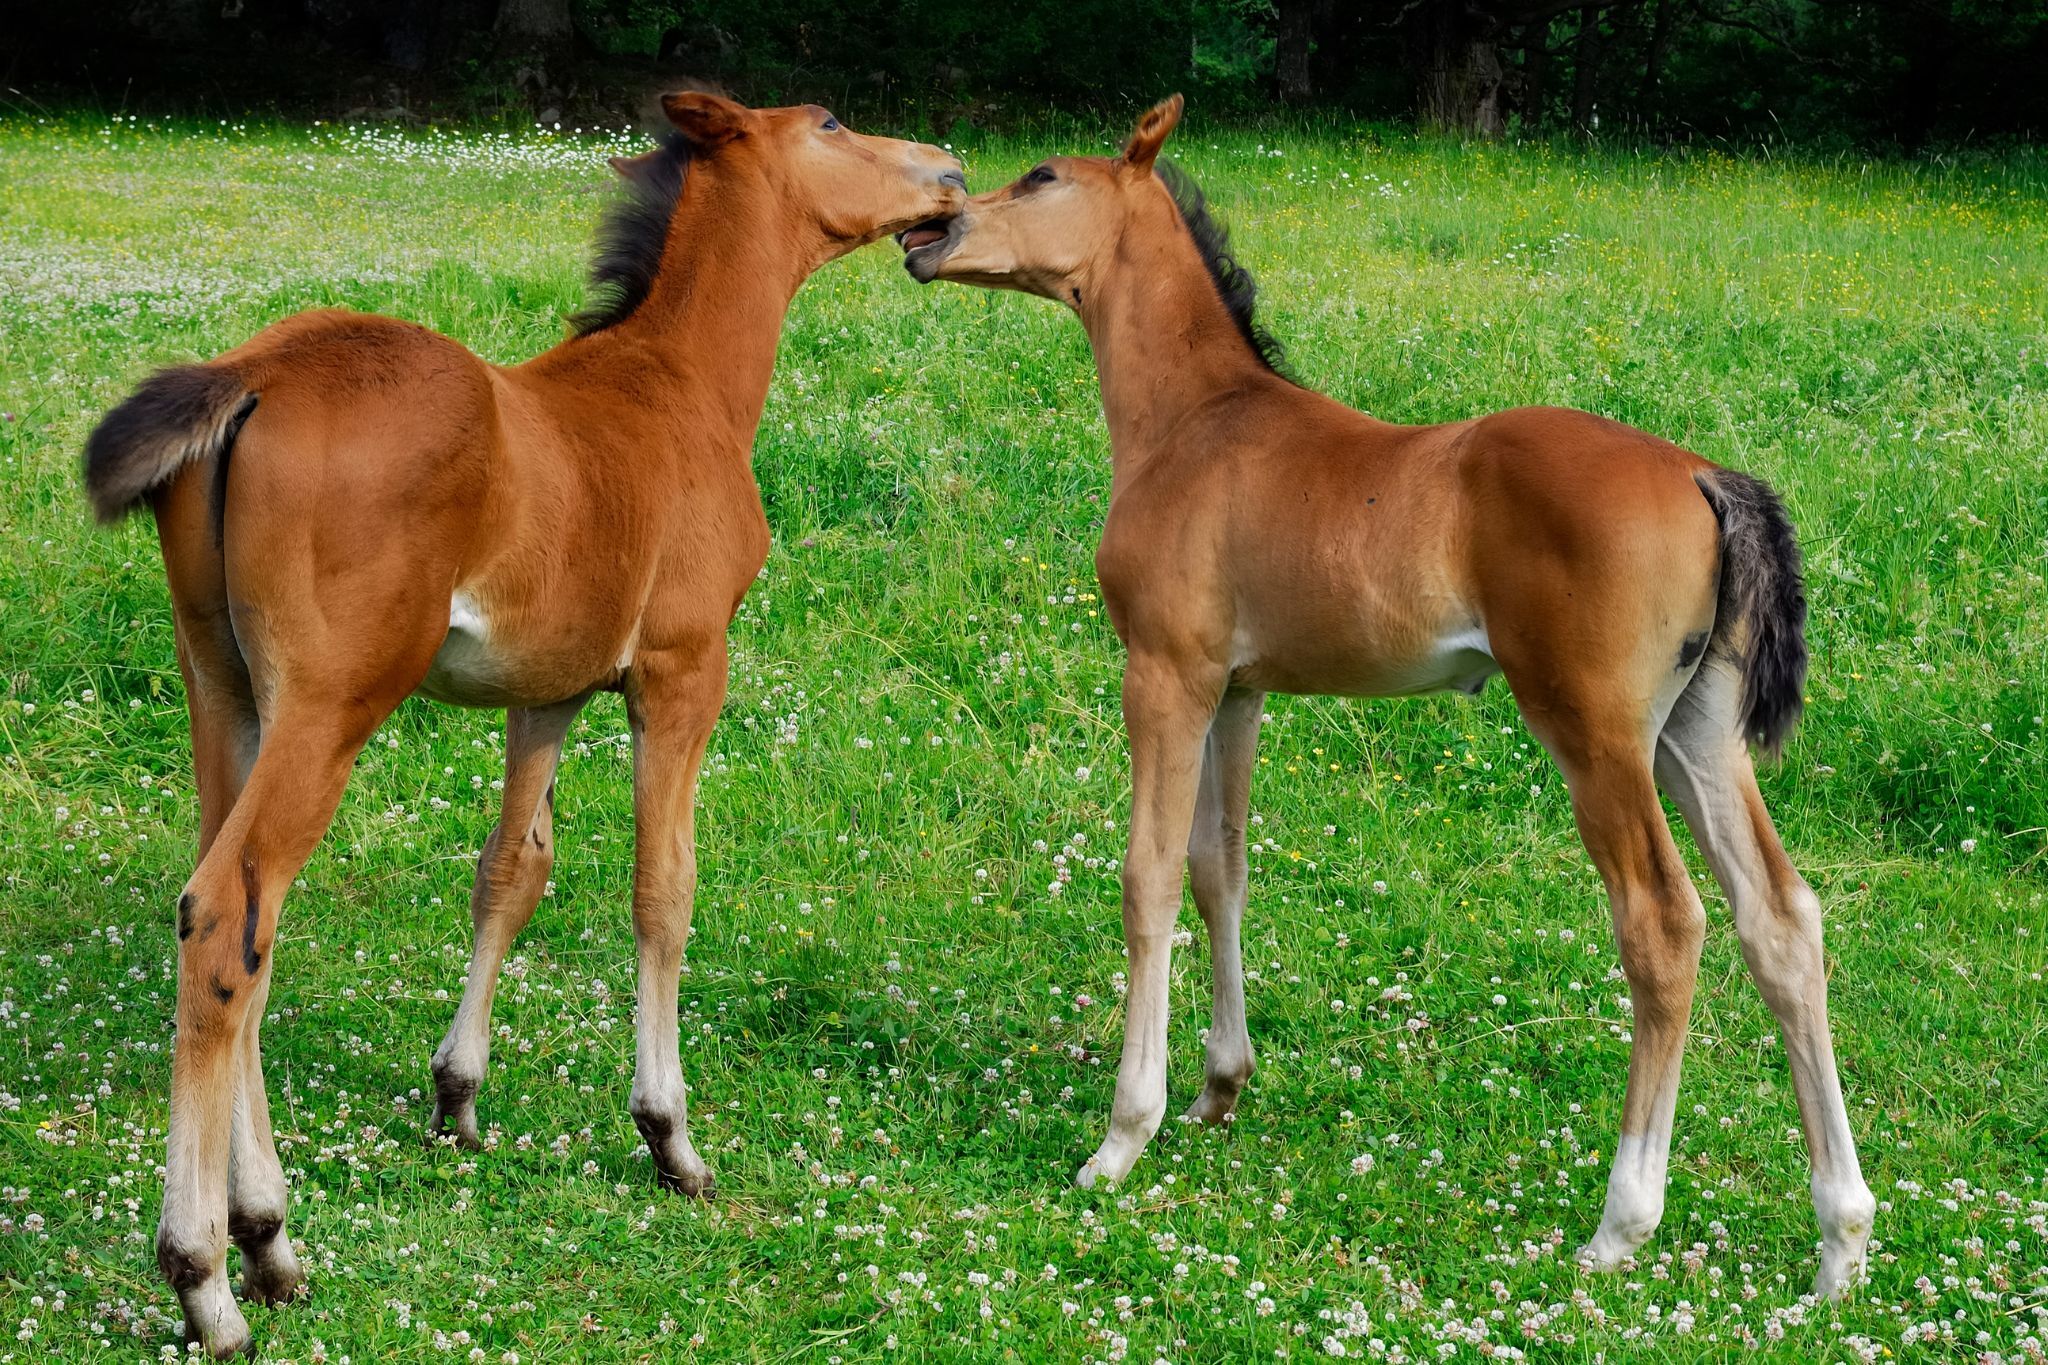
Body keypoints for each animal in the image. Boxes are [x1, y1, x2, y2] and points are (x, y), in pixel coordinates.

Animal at [81, 93, 964, 1358]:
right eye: (834, 123)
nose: (946, 175)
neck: (674, 387)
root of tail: (245, 373)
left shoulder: (546, 691)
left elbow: (512, 869)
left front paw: (457, 1097)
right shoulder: (682, 672)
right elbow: (662, 887)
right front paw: (668, 1135)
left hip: (223, 689)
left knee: (239, 926)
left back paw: (270, 1241)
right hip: (329, 703)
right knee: (227, 918)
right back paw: (208, 1276)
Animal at [902, 95, 1875, 1298]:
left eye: (1040, 174)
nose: (927, 232)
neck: (1195, 422)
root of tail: (1703, 476)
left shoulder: (1164, 675)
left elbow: (1147, 879)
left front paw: (1123, 1137)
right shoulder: (1238, 691)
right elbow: (1220, 870)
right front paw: (1220, 1086)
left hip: (1594, 732)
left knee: (1663, 922)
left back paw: (1620, 1224)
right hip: (1694, 734)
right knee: (1780, 921)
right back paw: (1839, 1240)